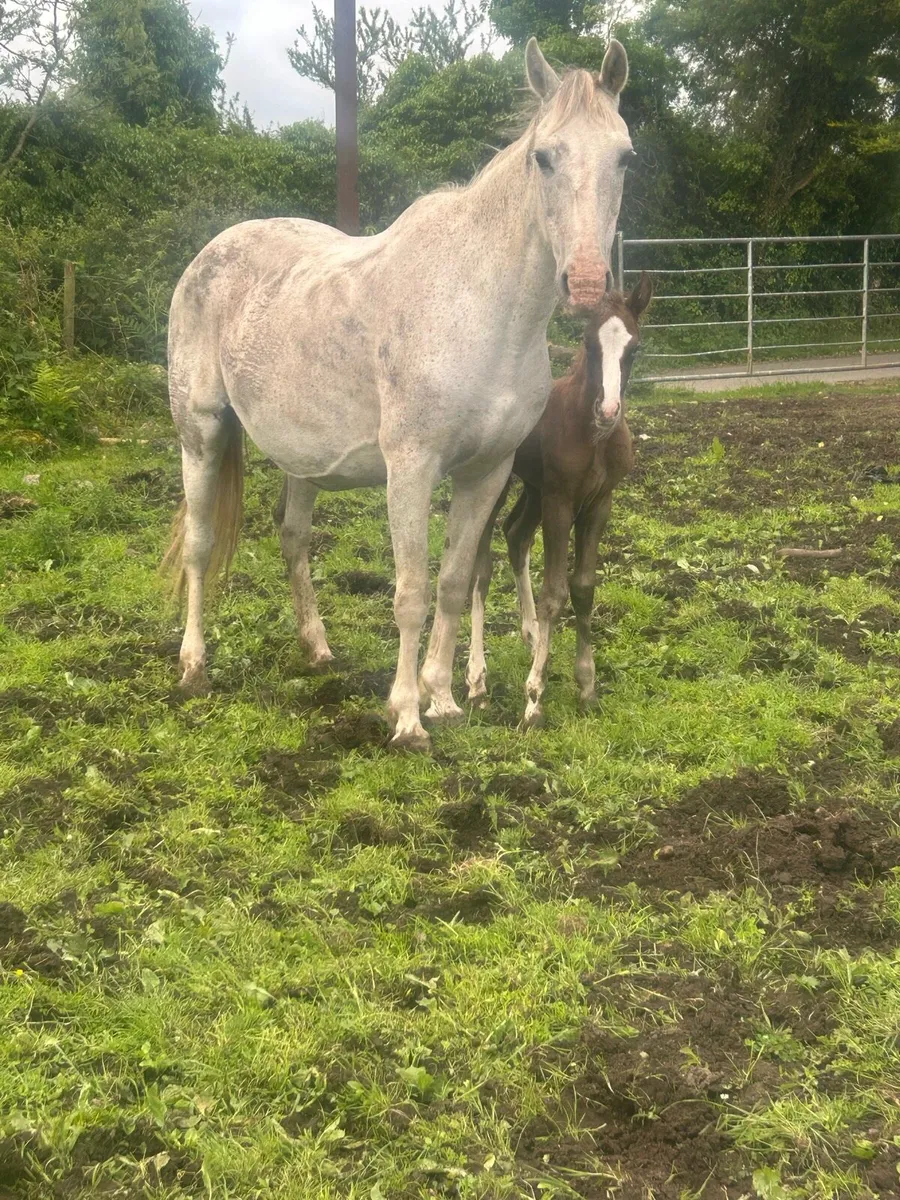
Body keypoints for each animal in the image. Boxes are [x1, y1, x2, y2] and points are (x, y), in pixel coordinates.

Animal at [465, 273, 653, 726]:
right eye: (588, 342)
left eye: (634, 347)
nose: (608, 410)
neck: (594, 437)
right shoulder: (561, 503)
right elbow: (554, 594)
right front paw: (534, 699)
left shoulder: (597, 504)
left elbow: (582, 588)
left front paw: (586, 686)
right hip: (501, 487)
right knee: (480, 571)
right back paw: (477, 683)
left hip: (534, 491)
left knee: (516, 535)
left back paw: (533, 639)